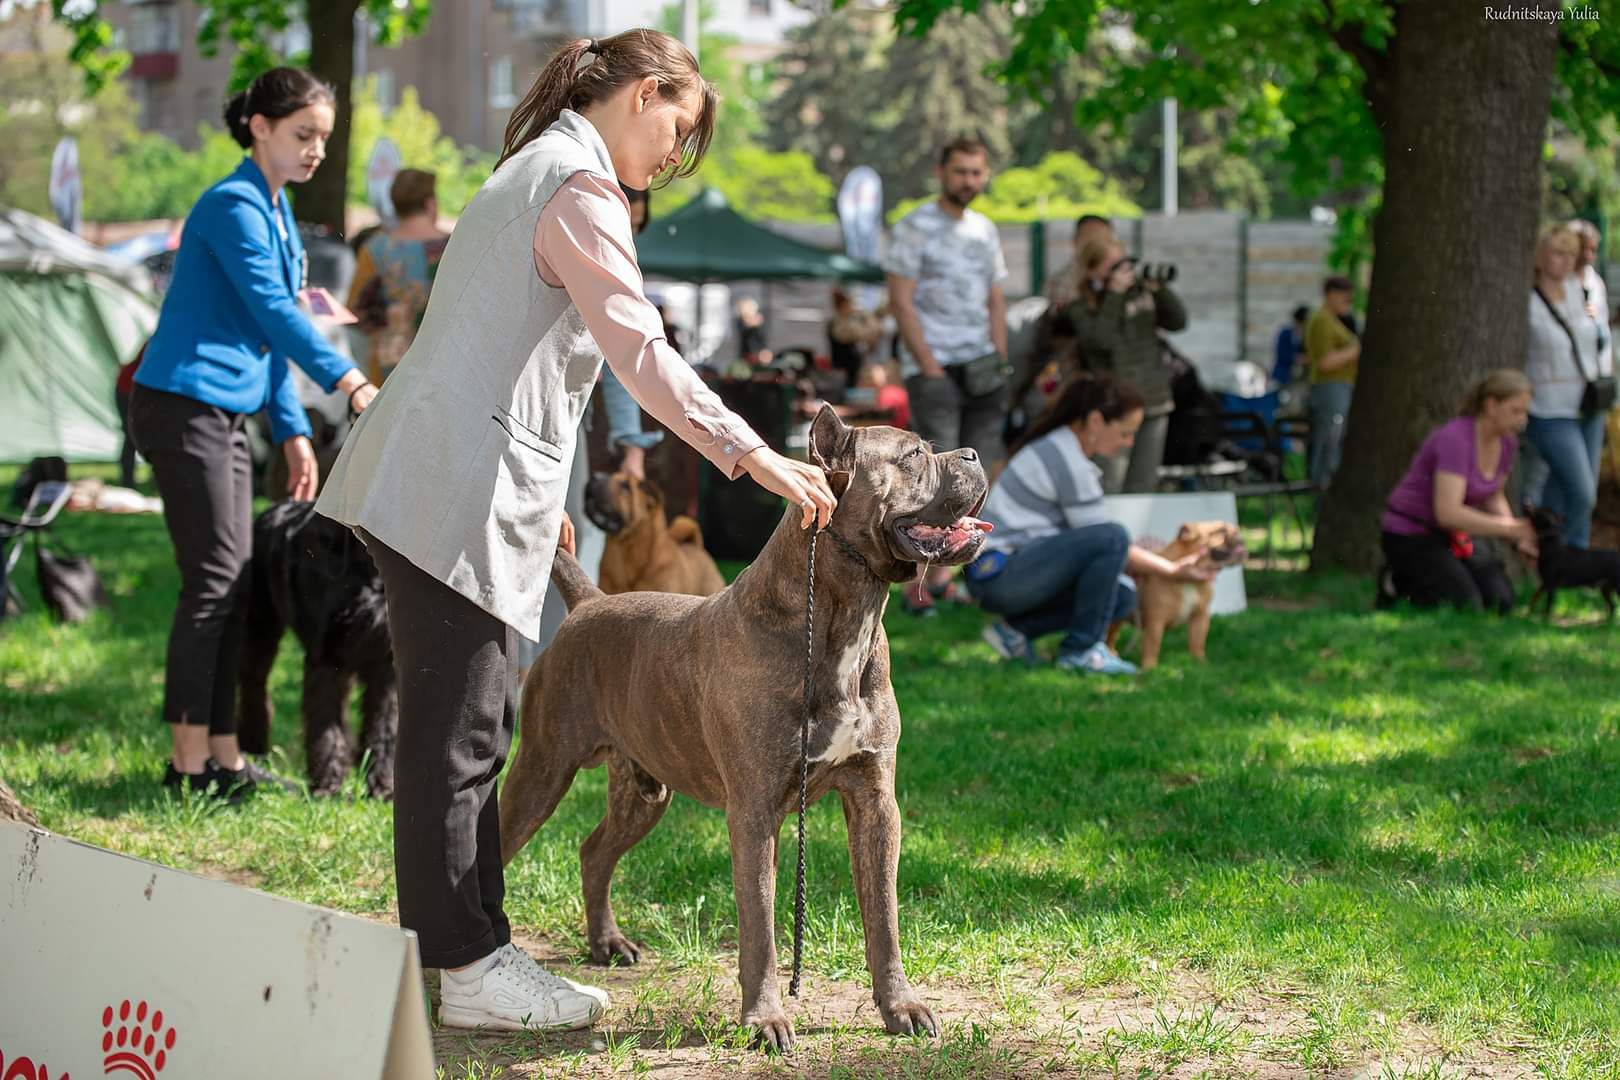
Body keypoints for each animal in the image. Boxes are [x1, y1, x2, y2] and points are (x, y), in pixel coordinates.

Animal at [236, 501, 395, 799]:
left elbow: (384, 725)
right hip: (260, 629)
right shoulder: (326, 656)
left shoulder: (386, 662)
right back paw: (254, 749)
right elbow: (325, 723)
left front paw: (382, 785)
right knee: (254, 687)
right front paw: (327, 785)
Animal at [1108, 521, 1244, 667]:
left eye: (1234, 528)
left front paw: (1201, 662)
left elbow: (1198, 642)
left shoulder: (1200, 617)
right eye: (1221, 530)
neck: (1190, 582)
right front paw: (1149, 668)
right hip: (1116, 620)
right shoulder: (1155, 622)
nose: (1238, 533)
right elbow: (1152, 645)